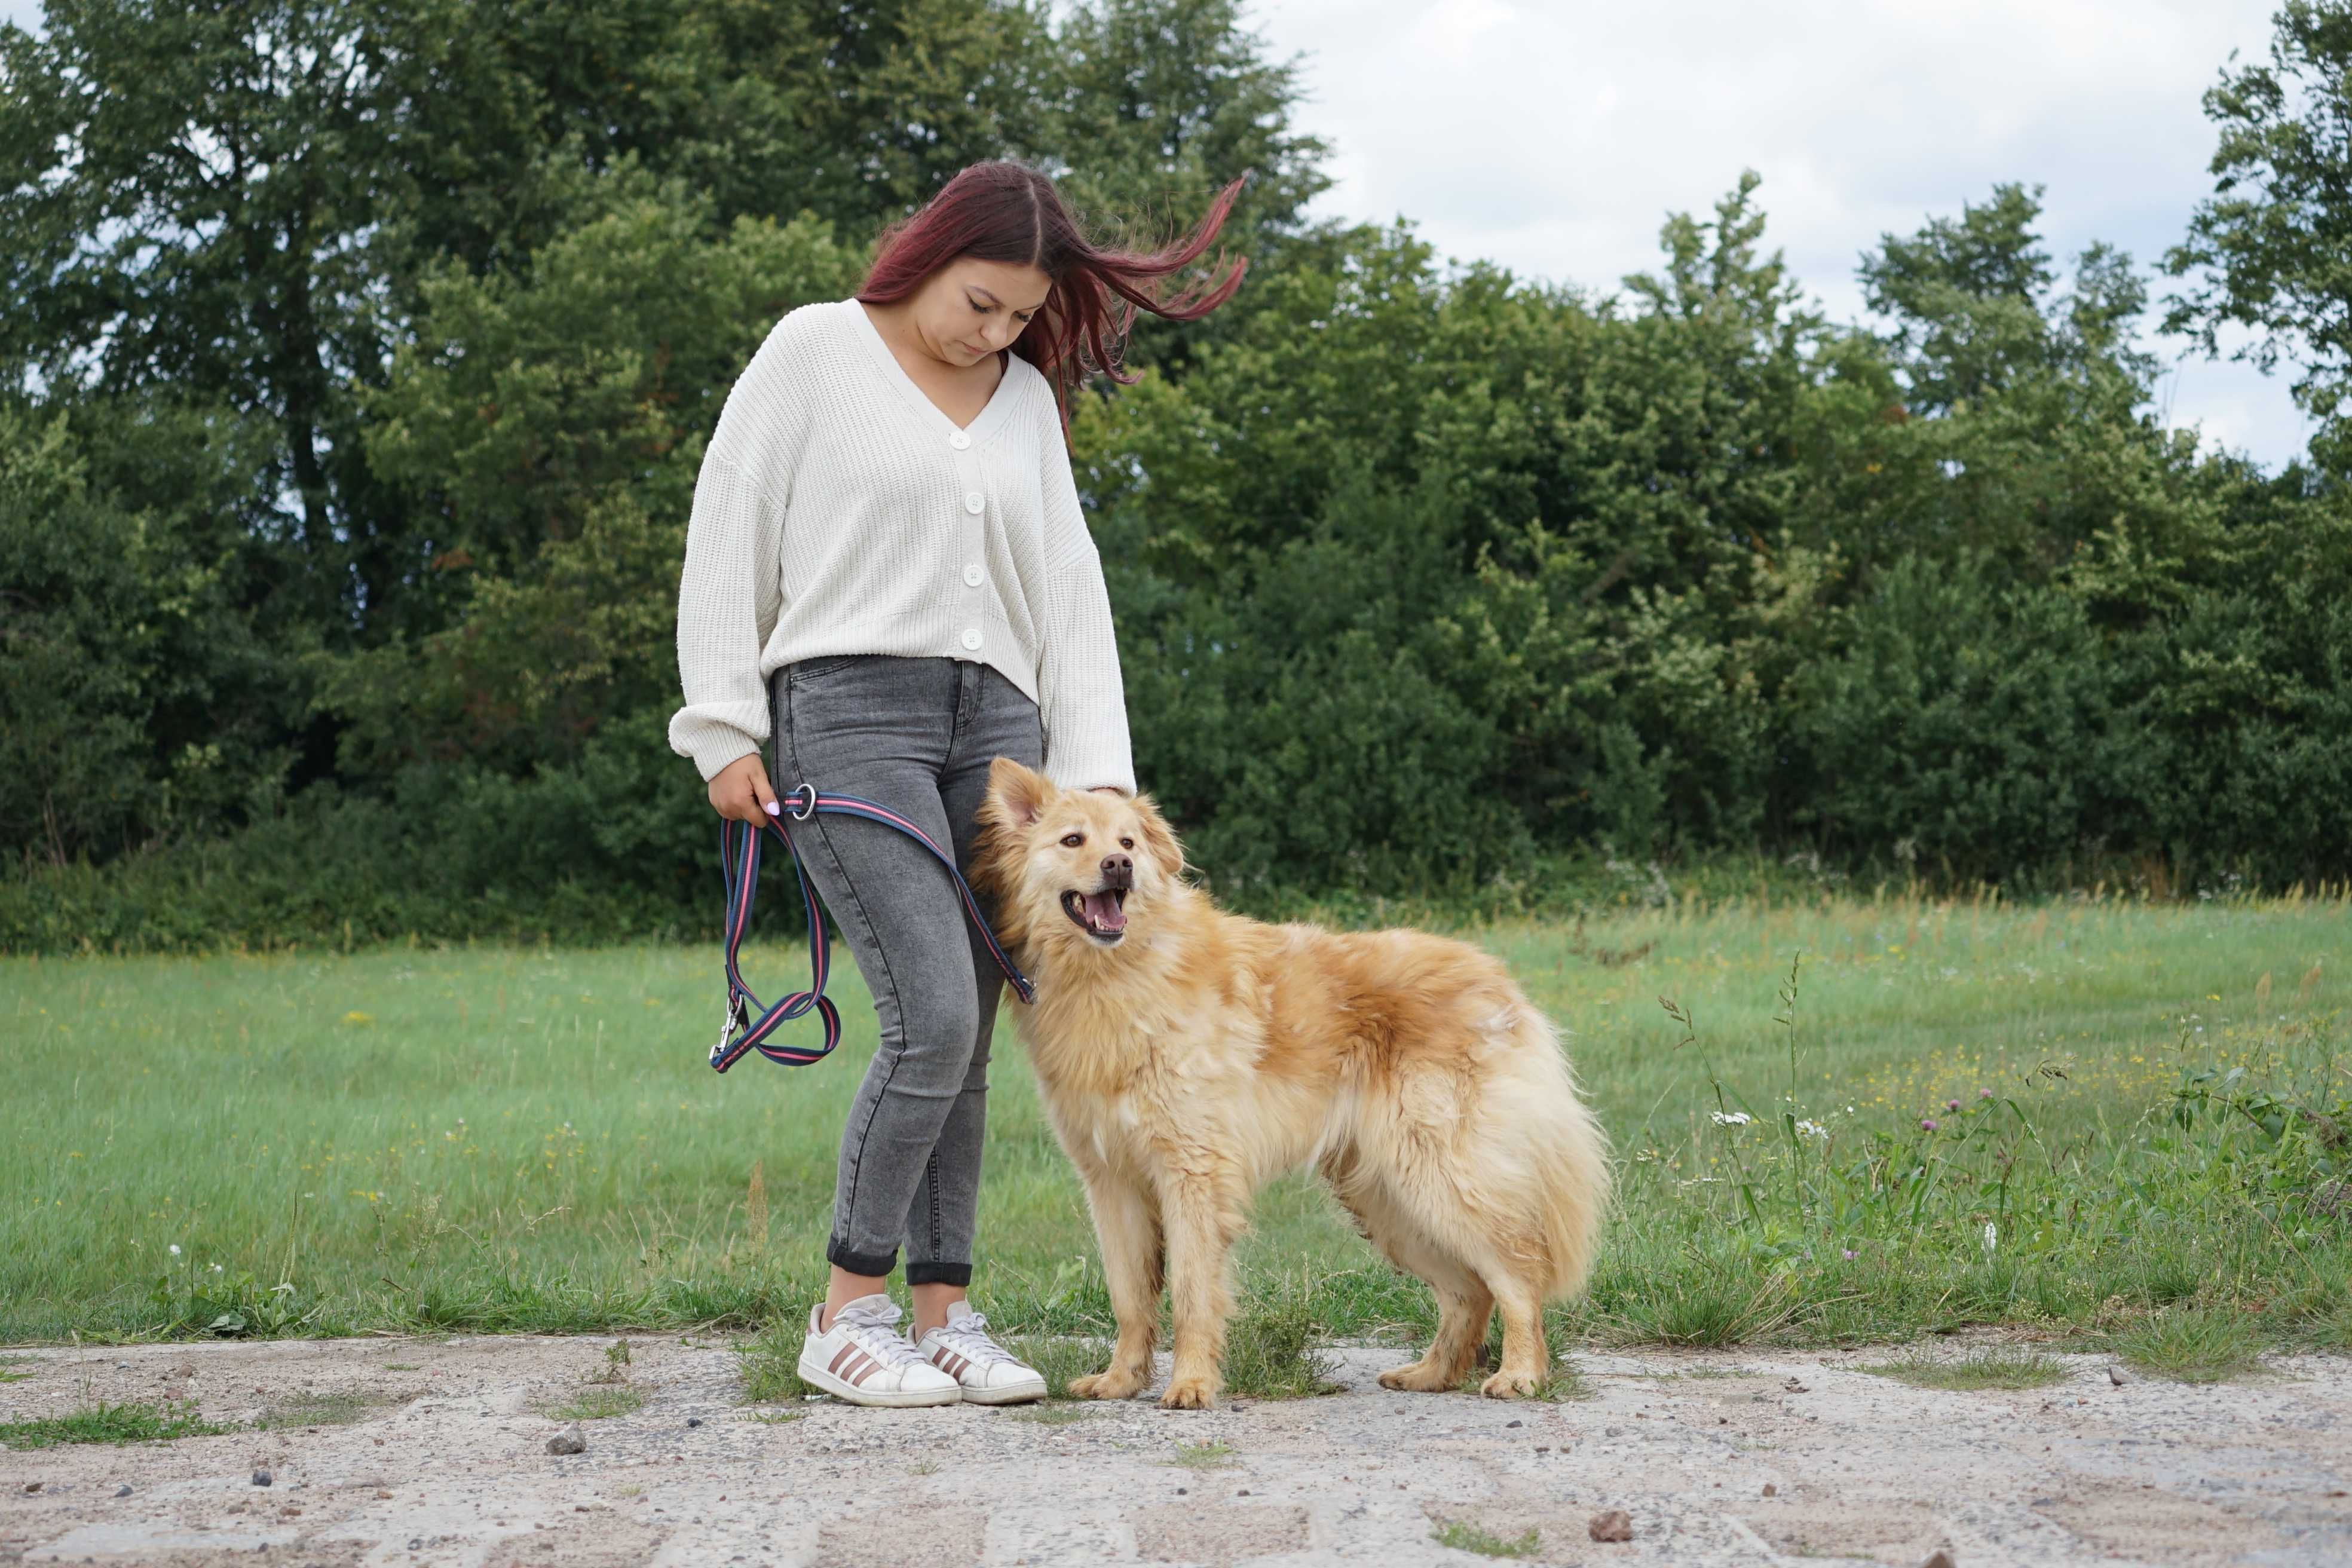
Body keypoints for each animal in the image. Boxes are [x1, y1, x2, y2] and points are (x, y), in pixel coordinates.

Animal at [978, 761, 1618, 1410]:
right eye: (1073, 841)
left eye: (1128, 843)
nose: (1119, 867)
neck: (1117, 973)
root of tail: (1499, 983)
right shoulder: (1113, 1183)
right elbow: (1130, 1296)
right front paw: (1120, 1380)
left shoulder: (1193, 1175)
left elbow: (1191, 1294)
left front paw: (1191, 1384)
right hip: (1388, 1198)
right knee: (1470, 1290)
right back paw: (1431, 1373)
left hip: (1440, 1176)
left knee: (1516, 1274)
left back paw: (1520, 1374)